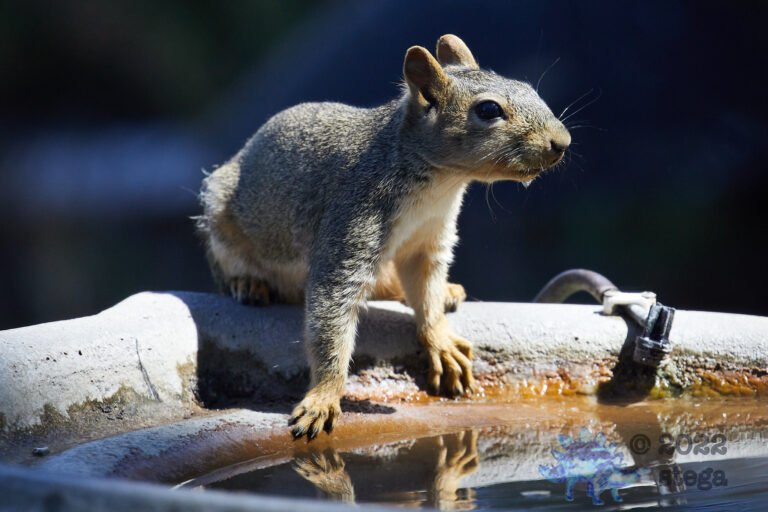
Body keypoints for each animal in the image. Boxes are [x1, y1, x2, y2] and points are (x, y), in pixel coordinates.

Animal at [197, 34, 570, 440]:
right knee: (229, 266)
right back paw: (247, 283)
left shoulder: (428, 243)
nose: (561, 142)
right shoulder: (351, 223)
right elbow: (331, 312)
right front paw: (324, 396)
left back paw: (444, 291)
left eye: (529, 89)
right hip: (222, 214)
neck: (440, 185)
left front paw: (440, 339)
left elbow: (426, 293)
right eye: (488, 110)